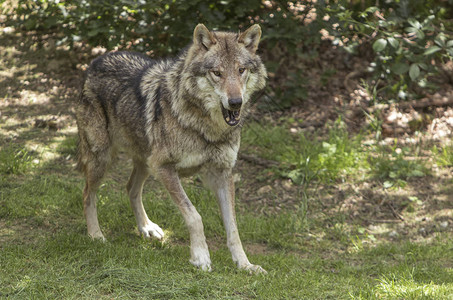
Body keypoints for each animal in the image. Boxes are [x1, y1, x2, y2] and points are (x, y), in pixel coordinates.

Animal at [73, 22, 264, 272]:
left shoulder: (222, 174)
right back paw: (95, 235)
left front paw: (245, 264)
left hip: (145, 163)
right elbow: (195, 216)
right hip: (103, 159)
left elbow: (233, 227)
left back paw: (146, 228)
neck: (207, 129)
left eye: (241, 70)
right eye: (217, 73)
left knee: (130, 188)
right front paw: (201, 257)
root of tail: (96, 61)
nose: (235, 103)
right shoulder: (164, 168)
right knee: (88, 194)